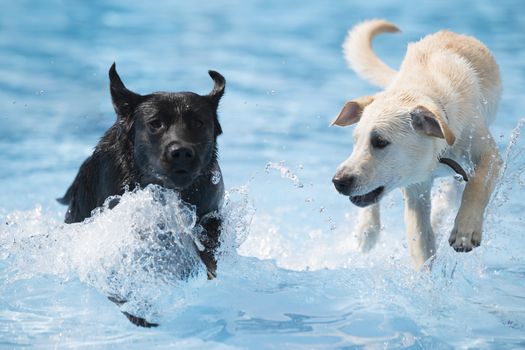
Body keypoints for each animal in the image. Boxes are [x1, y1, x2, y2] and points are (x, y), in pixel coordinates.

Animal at [330, 20, 502, 270]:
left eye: (380, 142)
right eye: (355, 140)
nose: (338, 182)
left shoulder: (489, 154)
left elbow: (477, 184)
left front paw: (465, 230)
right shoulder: (415, 188)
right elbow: (421, 243)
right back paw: (366, 230)